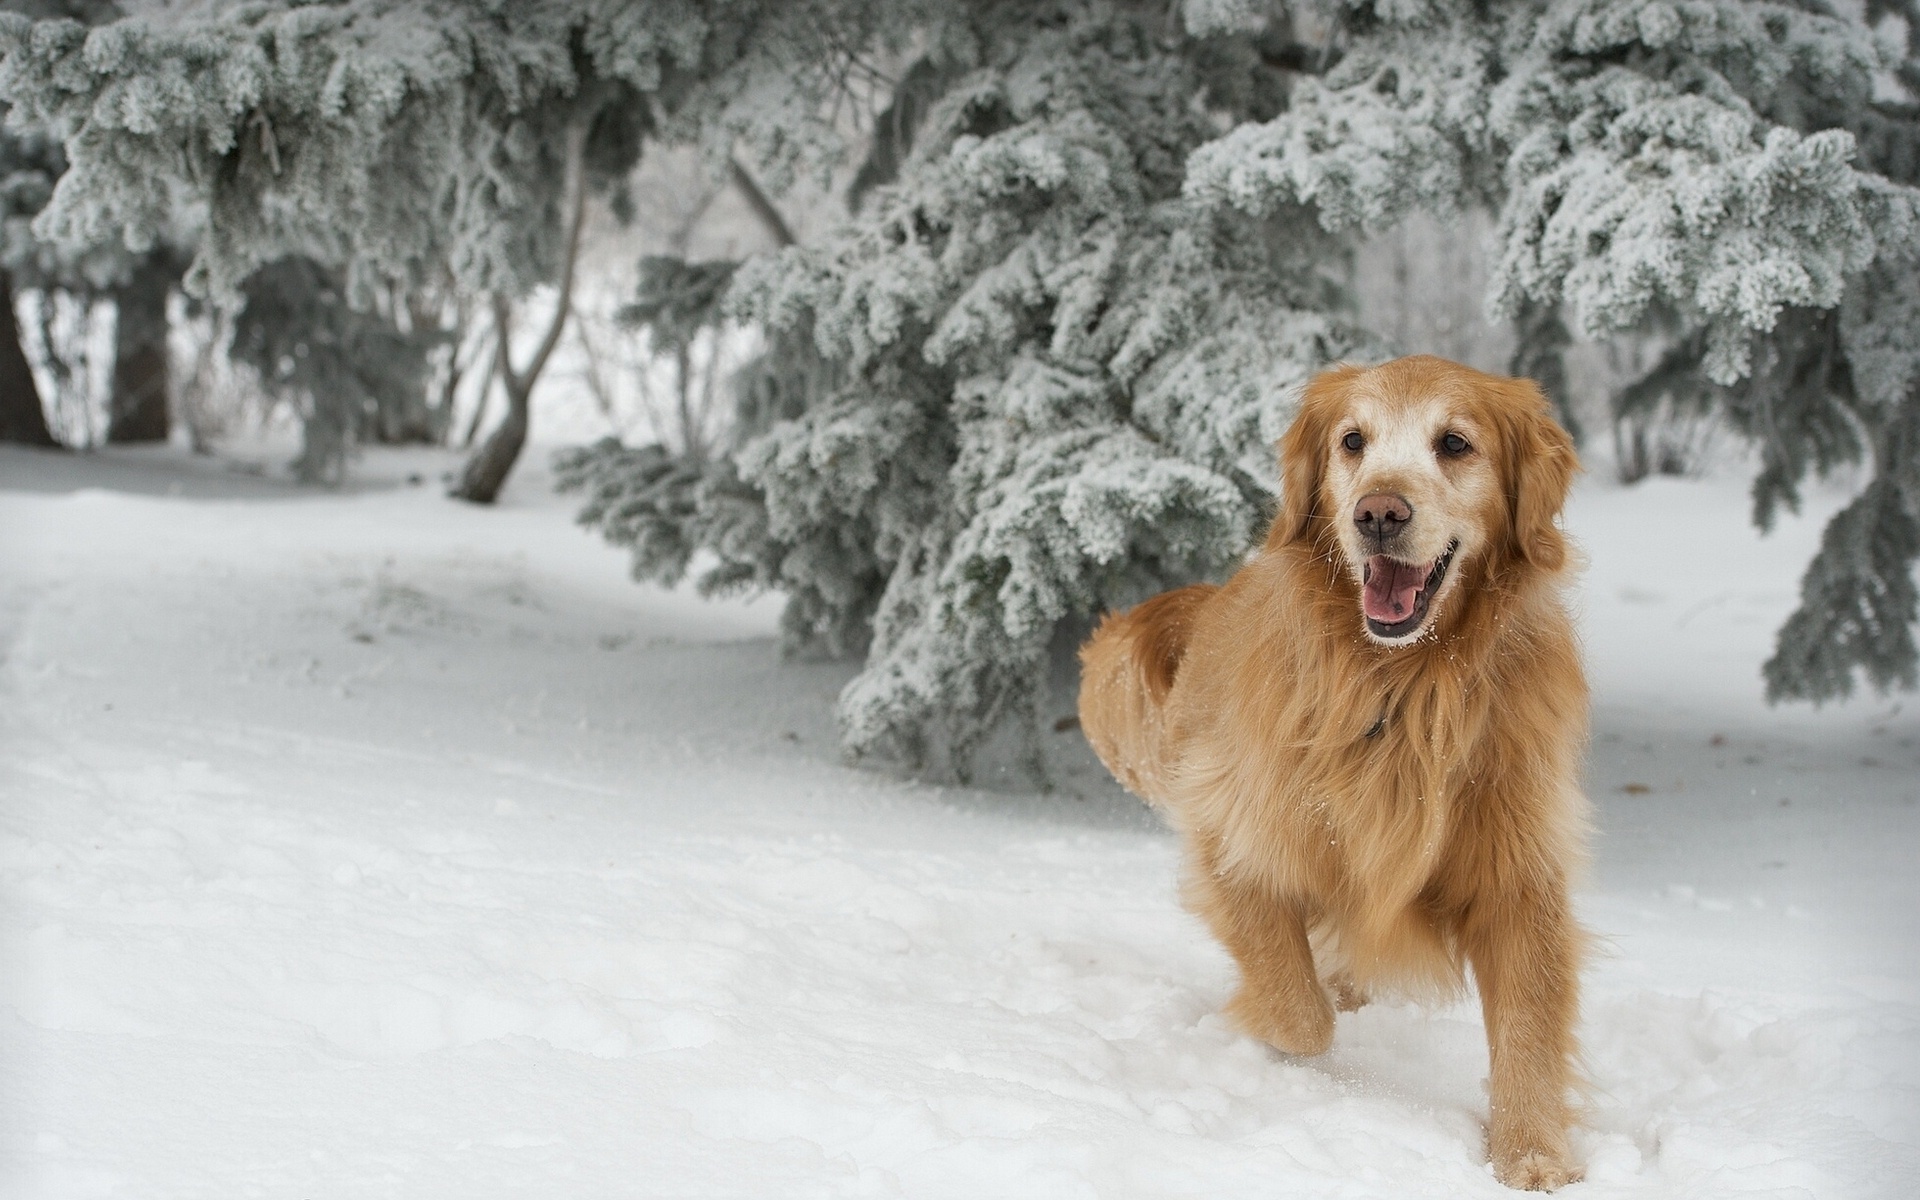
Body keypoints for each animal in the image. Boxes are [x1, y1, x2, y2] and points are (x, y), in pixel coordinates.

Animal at [1082, 351, 1589, 1182]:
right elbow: (1298, 1010)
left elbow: (1529, 1027)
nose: (1379, 513)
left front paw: (1534, 1158)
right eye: (1353, 441)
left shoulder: (1517, 871)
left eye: (1455, 443)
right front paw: (1264, 1029)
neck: (1401, 687)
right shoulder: (1238, 840)